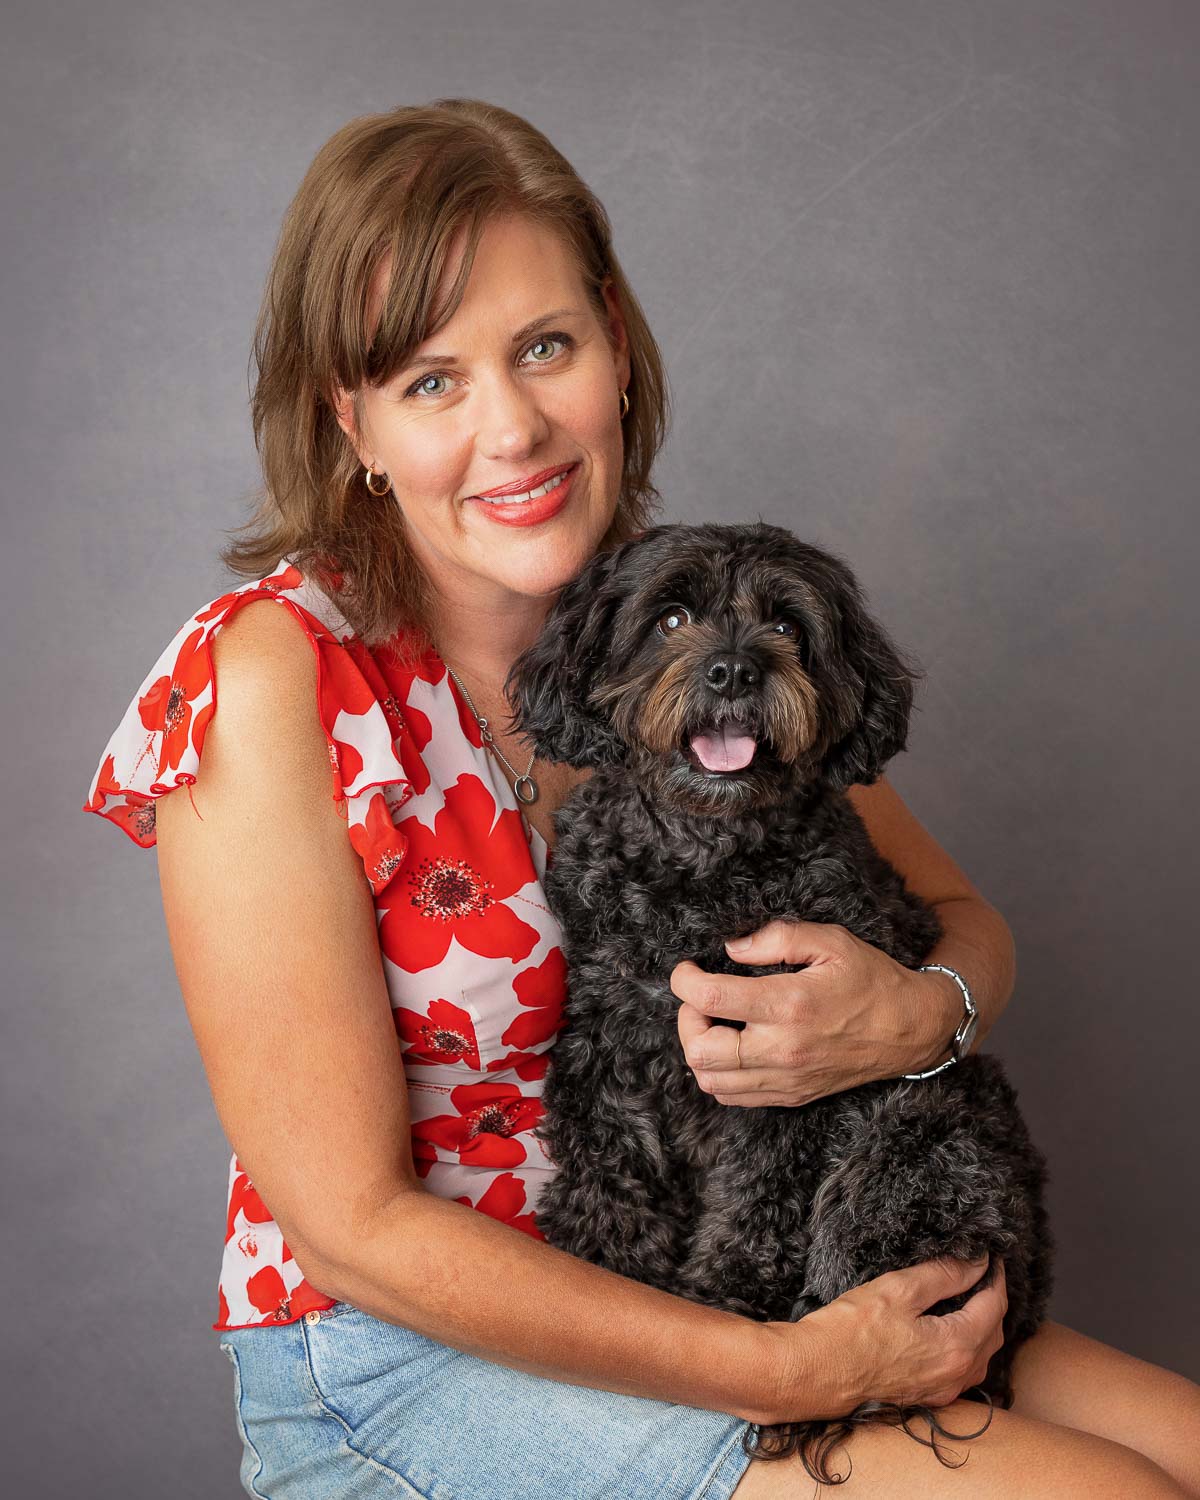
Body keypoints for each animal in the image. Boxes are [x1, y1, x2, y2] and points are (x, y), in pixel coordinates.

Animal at [501, 522, 1056, 1482]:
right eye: (672, 617)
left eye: (789, 627)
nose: (732, 671)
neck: (704, 862)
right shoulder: (608, 1042)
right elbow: (611, 1169)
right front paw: (606, 1266)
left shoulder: (790, 1078)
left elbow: (758, 1200)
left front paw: (723, 1299)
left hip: (913, 1159)